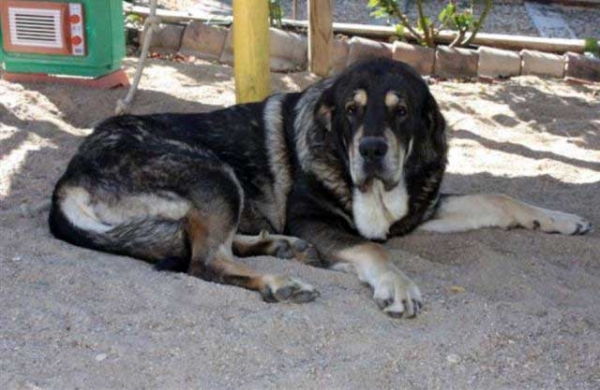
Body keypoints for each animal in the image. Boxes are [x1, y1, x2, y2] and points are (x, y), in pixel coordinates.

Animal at [50, 58, 592, 320]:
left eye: (400, 110)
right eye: (352, 110)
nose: (372, 150)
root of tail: (69, 176)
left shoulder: (421, 210)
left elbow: (501, 198)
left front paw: (563, 219)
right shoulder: (315, 219)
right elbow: (373, 251)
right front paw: (396, 286)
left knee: (213, 244)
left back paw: (279, 247)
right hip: (213, 173)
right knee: (204, 260)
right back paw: (279, 280)